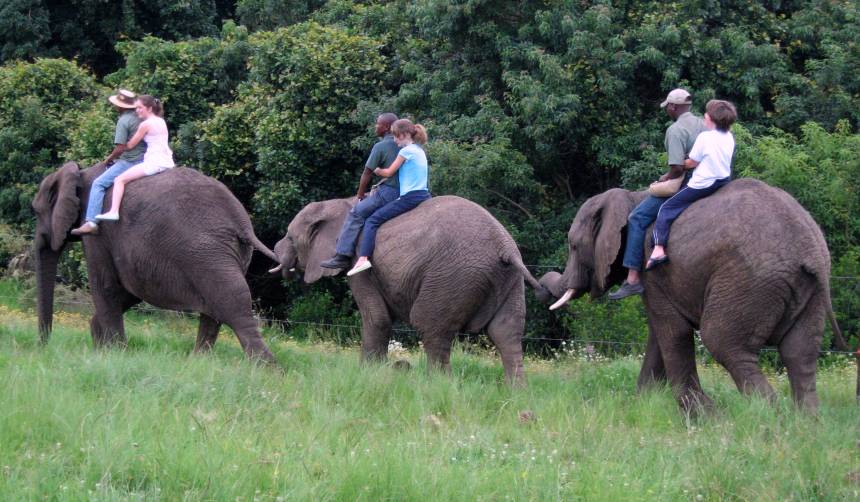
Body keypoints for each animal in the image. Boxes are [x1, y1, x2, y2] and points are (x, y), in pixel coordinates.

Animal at [33, 161, 278, 363]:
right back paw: (198, 363)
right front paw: (102, 348)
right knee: (215, 308)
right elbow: (130, 289)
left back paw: (267, 369)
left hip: (207, 253)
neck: (81, 174)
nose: (44, 348)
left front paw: (116, 354)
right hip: (225, 253)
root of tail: (242, 222)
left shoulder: (96, 230)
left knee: (232, 304)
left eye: (35, 211)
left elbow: (106, 286)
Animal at [271, 195, 542, 384]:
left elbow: (377, 318)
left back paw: (436, 386)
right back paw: (515, 392)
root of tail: (504, 247)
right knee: (506, 332)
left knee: (431, 327)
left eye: (291, 238)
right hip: (508, 279)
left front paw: (368, 374)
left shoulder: (359, 261)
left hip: (451, 276)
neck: (342, 204)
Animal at [538, 178, 845, 412]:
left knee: (725, 343)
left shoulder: (651, 266)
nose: (542, 286)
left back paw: (765, 416)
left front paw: (699, 414)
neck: (631, 198)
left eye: (573, 246)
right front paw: (643, 403)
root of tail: (810, 252)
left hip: (748, 282)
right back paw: (804, 423)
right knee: (799, 352)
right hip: (809, 290)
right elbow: (659, 333)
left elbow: (672, 331)